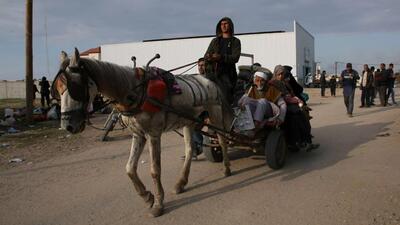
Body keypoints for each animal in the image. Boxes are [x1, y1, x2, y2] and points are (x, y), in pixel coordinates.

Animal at [53, 48, 234, 217]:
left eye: (74, 86)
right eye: (58, 88)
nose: (68, 125)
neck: (137, 92)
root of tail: (209, 80)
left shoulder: (153, 134)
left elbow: (155, 170)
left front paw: (158, 204)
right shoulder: (138, 134)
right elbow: (129, 168)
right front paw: (147, 196)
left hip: (215, 114)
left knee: (222, 139)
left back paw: (226, 168)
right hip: (189, 121)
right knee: (190, 149)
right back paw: (181, 183)